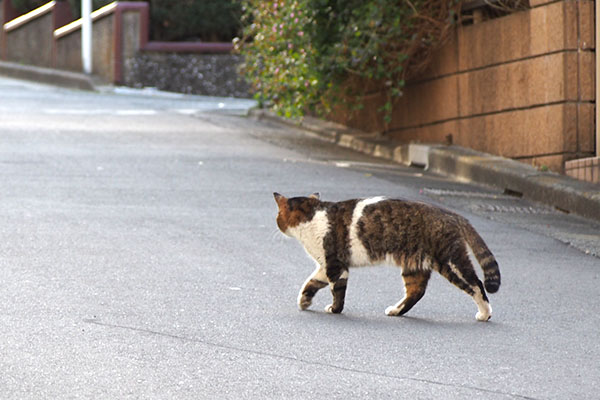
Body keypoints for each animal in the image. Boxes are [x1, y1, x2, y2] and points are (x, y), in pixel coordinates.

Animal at [274, 192, 500, 320]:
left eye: (278, 216)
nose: (276, 224)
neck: (313, 215)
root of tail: (453, 214)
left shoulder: (336, 266)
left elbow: (337, 291)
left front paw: (335, 309)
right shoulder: (325, 266)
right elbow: (311, 283)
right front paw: (304, 301)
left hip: (450, 261)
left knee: (476, 284)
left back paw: (485, 314)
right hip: (415, 265)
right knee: (416, 291)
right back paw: (395, 311)